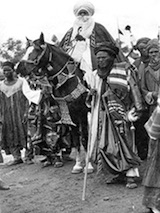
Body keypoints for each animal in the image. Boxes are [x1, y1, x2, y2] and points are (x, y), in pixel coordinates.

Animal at [16, 32, 94, 173]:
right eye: (26, 50)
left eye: (37, 49)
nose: (18, 68)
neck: (68, 81)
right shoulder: (71, 116)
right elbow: (76, 139)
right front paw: (78, 165)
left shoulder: (82, 113)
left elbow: (84, 137)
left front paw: (88, 165)